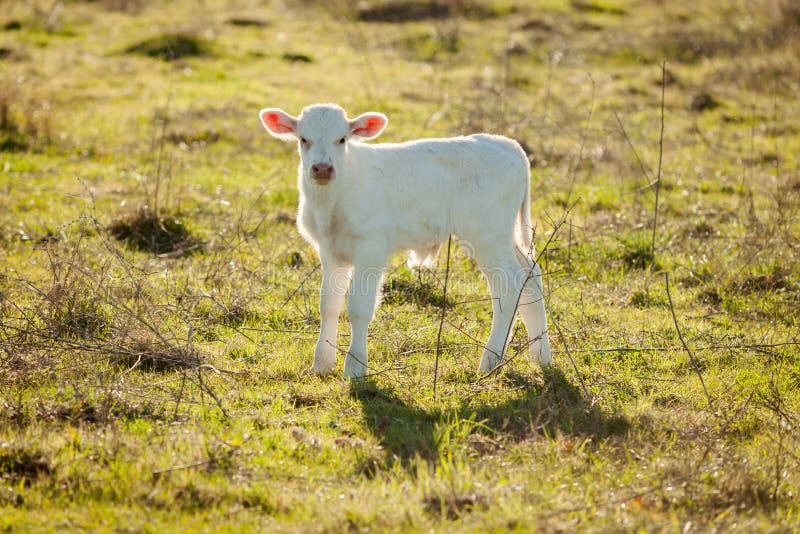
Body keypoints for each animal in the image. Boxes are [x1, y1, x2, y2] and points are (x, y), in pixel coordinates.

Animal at [260, 103, 552, 382]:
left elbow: (359, 307)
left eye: (341, 139)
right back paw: (541, 357)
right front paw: (321, 364)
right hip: (505, 235)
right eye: (303, 139)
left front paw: (355, 367)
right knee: (531, 276)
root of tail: (507, 144)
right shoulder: (330, 250)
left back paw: (490, 361)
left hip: (487, 234)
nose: (322, 168)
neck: (338, 193)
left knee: (509, 285)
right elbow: (329, 305)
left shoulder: (371, 246)